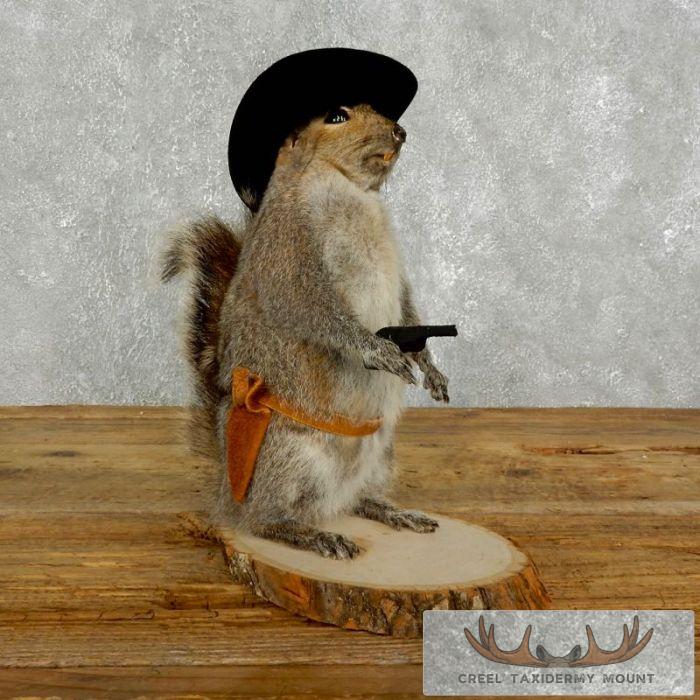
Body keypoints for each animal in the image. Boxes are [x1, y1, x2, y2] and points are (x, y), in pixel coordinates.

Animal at [163, 103, 449, 559]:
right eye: (336, 116)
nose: (399, 131)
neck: (352, 190)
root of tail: (227, 495)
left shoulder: (398, 278)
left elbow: (408, 310)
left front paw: (432, 369)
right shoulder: (288, 253)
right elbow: (314, 311)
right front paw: (379, 350)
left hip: (381, 455)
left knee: (357, 500)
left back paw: (394, 512)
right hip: (286, 456)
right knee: (263, 520)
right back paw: (312, 535)